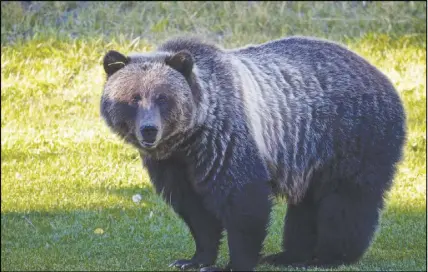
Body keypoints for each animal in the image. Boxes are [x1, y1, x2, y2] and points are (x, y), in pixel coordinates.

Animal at [98, 36, 406, 272]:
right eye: (134, 97)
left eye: (163, 97)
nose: (149, 130)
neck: (190, 138)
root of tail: (382, 75)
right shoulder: (173, 165)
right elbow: (196, 211)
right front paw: (193, 259)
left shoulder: (225, 142)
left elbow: (243, 201)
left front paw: (234, 263)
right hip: (309, 156)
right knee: (306, 205)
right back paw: (289, 255)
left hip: (352, 135)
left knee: (344, 202)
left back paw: (329, 257)